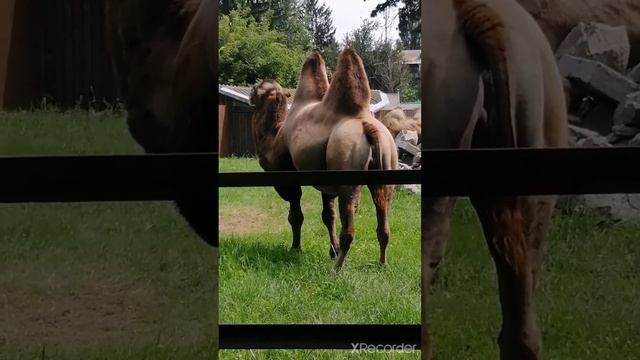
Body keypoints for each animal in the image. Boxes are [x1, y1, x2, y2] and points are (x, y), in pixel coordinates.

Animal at [249, 50, 396, 270]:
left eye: (258, 90)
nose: (250, 93)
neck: (274, 134)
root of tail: (369, 128)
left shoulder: (288, 178)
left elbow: (296, 216)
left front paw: (295, 249)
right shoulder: (326, 182)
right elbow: (328, 216)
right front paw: (331, 251)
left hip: (347, 167)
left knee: (349, 225)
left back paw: (337, 269)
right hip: (387, 168)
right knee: (383, 219)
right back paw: (382, 263)